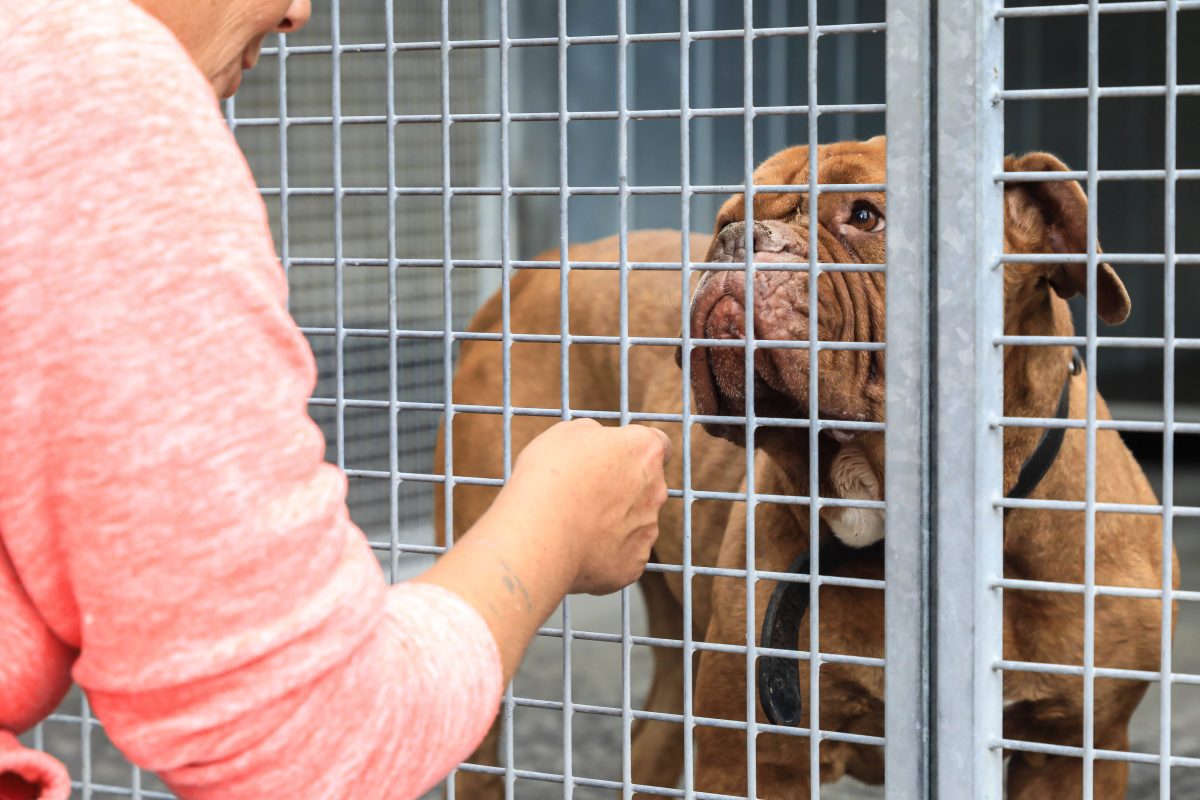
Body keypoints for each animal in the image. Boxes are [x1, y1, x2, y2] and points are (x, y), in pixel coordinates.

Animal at [436, 134, 1176, 796]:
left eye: (865, 215)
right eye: (727, 220)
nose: (741, 240)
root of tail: (540, 269)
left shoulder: (1074, 752)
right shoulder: (756, 753)